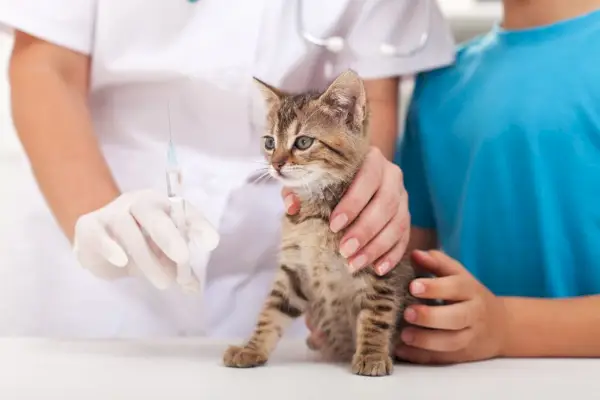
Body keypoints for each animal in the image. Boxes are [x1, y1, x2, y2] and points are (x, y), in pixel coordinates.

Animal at [223, 70, 414, 376]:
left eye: (303, 142)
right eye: (269, 143)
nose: (276, 164)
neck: (314, 214)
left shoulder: (378, 264)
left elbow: (376, 313)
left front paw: (371, 355)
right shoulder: (294, 270)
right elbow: (271, 311)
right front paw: (251, 349)